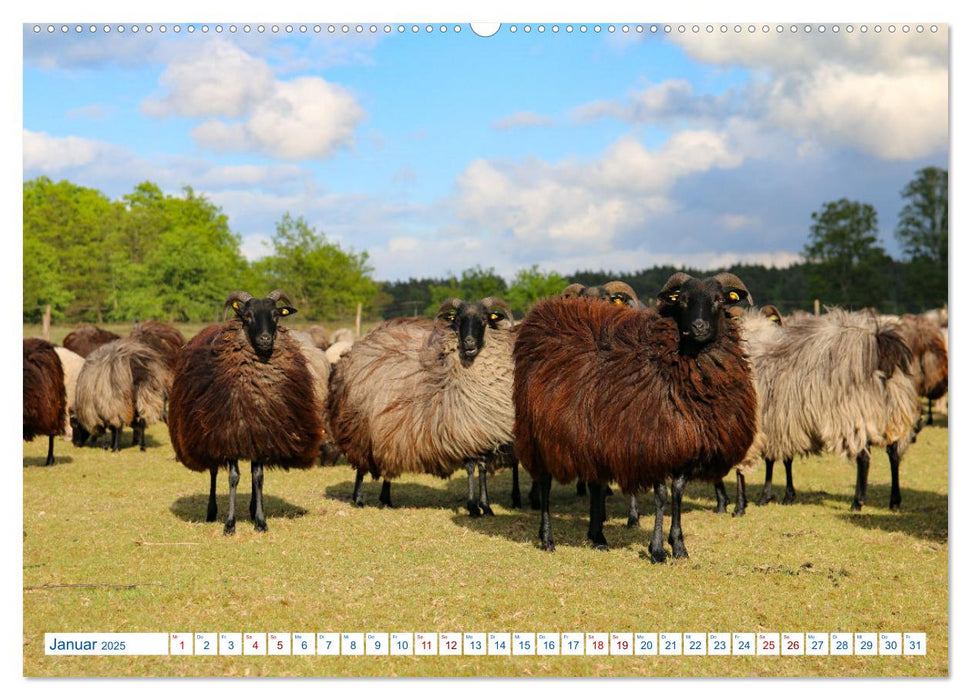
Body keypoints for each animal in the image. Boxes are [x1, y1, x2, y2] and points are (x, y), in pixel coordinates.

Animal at [169, 292, 324, 536]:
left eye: (276, 315)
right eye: (247, 315)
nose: (265, 339)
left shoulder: (259, 432)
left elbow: (258, 477)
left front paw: (260, 521)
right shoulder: (230, 433)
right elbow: (233, 477)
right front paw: (229, 524)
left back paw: (252, 509)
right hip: (208, 434)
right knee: (214, 471)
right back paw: (211, 511)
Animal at [326, 296, 520, 516]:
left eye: (485, 319)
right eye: (458, 319)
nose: (469, 342)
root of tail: (357, 346)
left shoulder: (482, 435)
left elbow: (482, 468)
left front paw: (486, 507)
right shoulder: (464, 433)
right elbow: (471, 468)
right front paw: (472, 507)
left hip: (387, 429)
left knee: (387, 461)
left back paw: (386, 499)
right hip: (360, 426)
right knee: (361, 463)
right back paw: (358, 498)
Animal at [516, 270, 760, 560]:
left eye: (719, 300)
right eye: (682, 300)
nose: (698, 327)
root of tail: (541, 313)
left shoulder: (685, 445)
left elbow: (677, 492)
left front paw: (678, 545)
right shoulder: (654, 443)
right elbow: (661, 495)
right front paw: (657, 549)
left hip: (591, 437)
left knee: (596, 485)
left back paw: (597, 537)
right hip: (539, 433)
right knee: (545, 482)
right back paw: (547, 538)